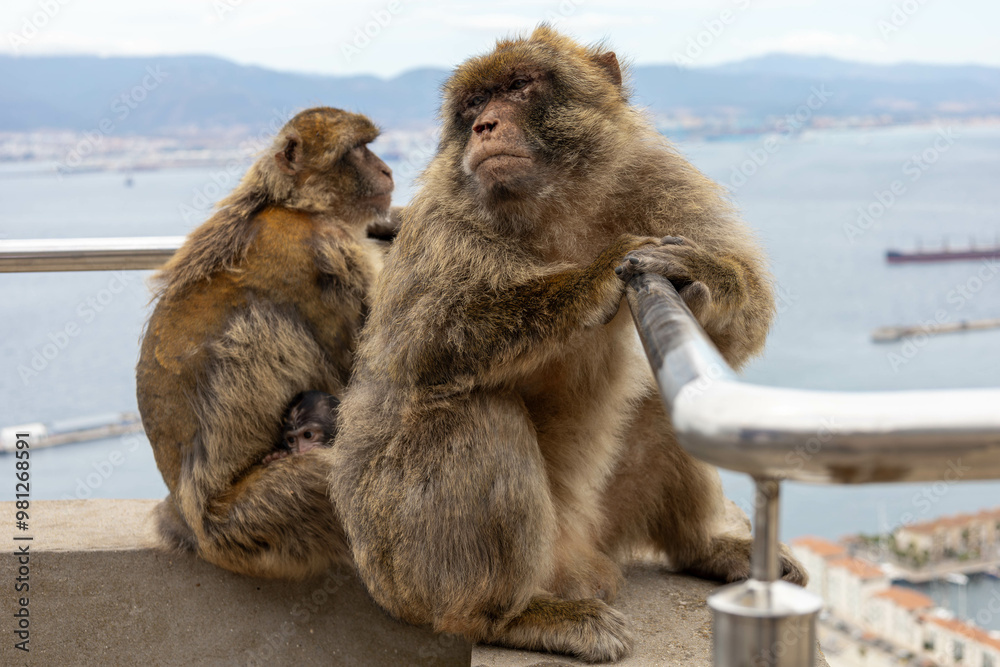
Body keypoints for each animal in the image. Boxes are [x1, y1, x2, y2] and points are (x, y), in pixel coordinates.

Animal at [136, 106, 393, 579]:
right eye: (357, 151)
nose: (386, 170)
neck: (293, 203)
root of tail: (195, 533)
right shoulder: (326, 248)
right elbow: (366, 374)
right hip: (257, 522)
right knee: (327, 473)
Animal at [326, 27, 805, 663]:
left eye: (518, 86)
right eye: (474, 103)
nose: (484, 126)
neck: (555, 204)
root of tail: (575, 560)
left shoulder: (656, 176)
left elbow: (741, 325)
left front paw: (700, 273)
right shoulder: (442, 225)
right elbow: (417, 348)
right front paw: (596, 276)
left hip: (610, 517)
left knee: (668, 400)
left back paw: (703, 547)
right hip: (398, 560)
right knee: (474, 413)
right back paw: (507, 616)